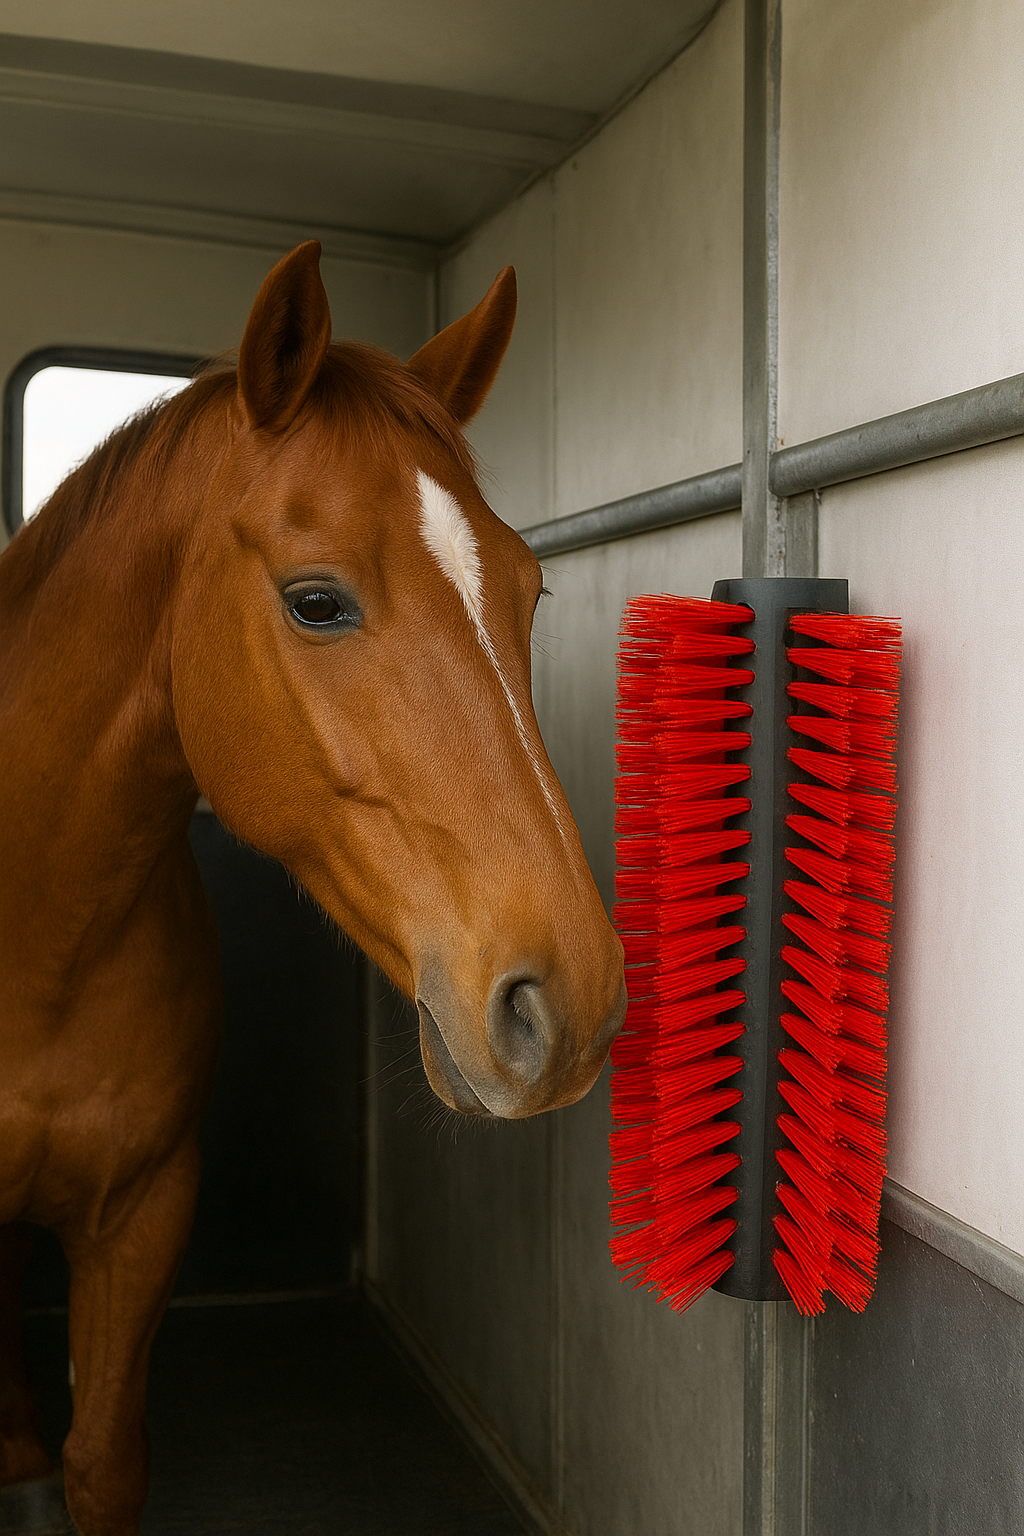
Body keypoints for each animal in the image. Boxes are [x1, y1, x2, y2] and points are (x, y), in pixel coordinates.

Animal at [0, 241, 625, 1536]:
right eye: (316, 601)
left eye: (529, 593)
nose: (573, 1002)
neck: (34, 938)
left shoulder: (145, 1214)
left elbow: (103, 1457)